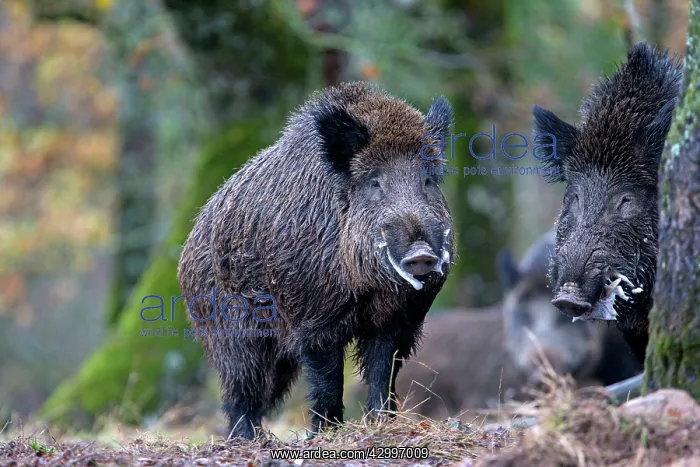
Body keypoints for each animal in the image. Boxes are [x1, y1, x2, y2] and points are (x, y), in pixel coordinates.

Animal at [177, 81, 456, 439]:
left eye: (428, 180)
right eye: (375, 182)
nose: (421, 253)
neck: (370, 289)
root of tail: (190, 241)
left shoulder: (399, 320)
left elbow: (383, 372)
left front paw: (383, 423)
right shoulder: (313, 319)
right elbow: (327, 379)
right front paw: (326, 433)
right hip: (230, 328)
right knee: (241, 385)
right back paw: (248, 439)